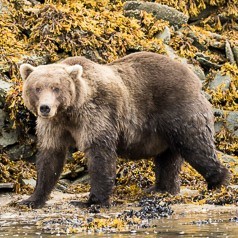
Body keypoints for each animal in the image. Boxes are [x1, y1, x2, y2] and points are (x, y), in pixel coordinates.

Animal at [19, 52, 230, 208]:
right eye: (37, 88)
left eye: (56, 88)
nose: (45, 108)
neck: (70, 111)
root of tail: (195, 79)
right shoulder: (54, 126)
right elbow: (50, 157)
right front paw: (32, 199)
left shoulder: (97, 115)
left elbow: (100, 154)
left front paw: (93, 201)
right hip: (166, 130)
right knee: (168, 158)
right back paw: (161, 189)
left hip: (179, 111)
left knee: (196, 146)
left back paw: (218, 182)